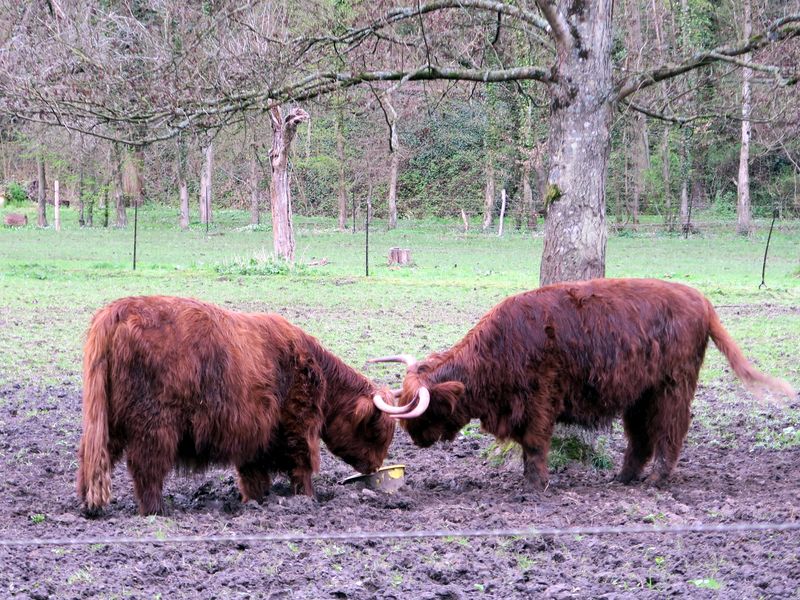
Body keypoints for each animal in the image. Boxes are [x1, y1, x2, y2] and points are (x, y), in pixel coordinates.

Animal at [78, 296, 396, 516]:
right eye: (378, 432)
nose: (375, 466)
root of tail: (119, 309)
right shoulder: (296, 424)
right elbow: (301, 466)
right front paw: (307, 499)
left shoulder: (253, 432)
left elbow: (252, 473)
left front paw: (255, 501)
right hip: (154, 423)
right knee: (147, 467)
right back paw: (156, 511)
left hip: (106, 419)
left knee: (92, 457)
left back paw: (87, 504)